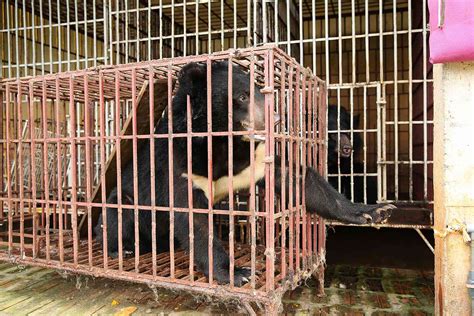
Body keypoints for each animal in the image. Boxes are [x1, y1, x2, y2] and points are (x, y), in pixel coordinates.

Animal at [95, 60, 392, 286]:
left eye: (261, 92)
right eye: (241, 97)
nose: (276, 120)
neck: (224, 144)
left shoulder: (254, 160)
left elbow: (298, 179)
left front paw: (374, 211)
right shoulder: (179, 162)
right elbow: (195, 220)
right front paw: (238, 274)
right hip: (124, 205)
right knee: (117, 215)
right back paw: (124, 248)